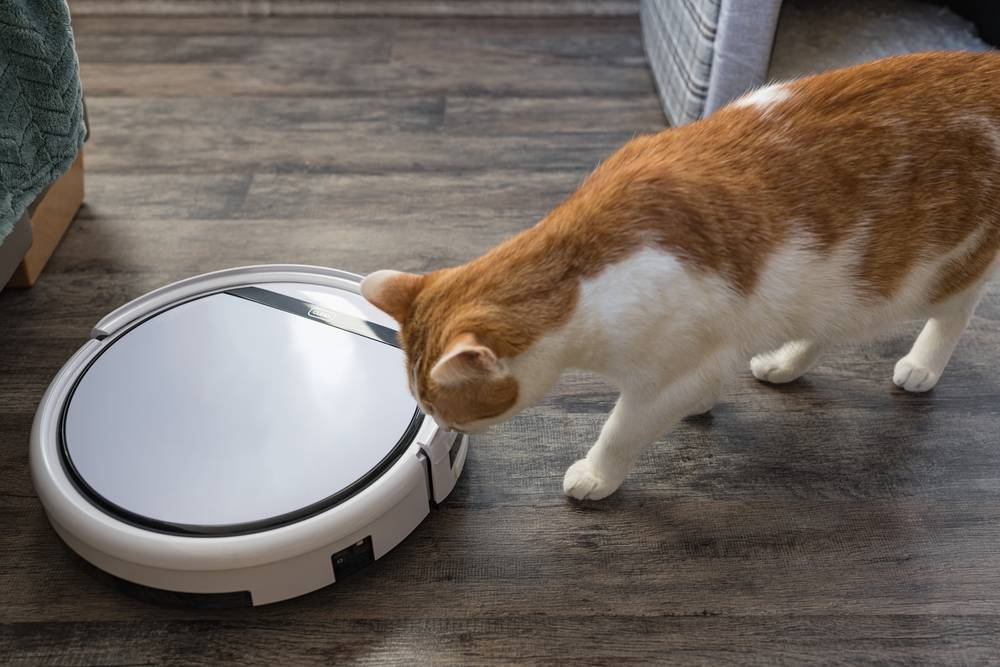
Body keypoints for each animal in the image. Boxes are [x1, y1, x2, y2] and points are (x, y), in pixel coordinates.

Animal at [362, 51, 1000, 500]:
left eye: (448, 406)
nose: (440, 425)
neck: (582, 274)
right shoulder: (705, 347)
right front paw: (705, 401)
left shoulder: (664, 372)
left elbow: (621, 428)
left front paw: (597, 475)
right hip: (839, 290)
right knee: (825, 325)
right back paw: (784, 362)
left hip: (933, 272)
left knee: (955, 312)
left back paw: (920, 365)